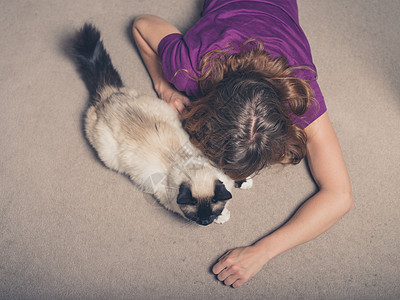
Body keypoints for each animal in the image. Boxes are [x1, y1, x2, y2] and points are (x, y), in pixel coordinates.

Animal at [72, 23, 236, 225]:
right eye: (197, 216)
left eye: (210, 214)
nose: (205, 223)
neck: (182, 162)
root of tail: (108, 94)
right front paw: (225, 216)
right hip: (108, 157)